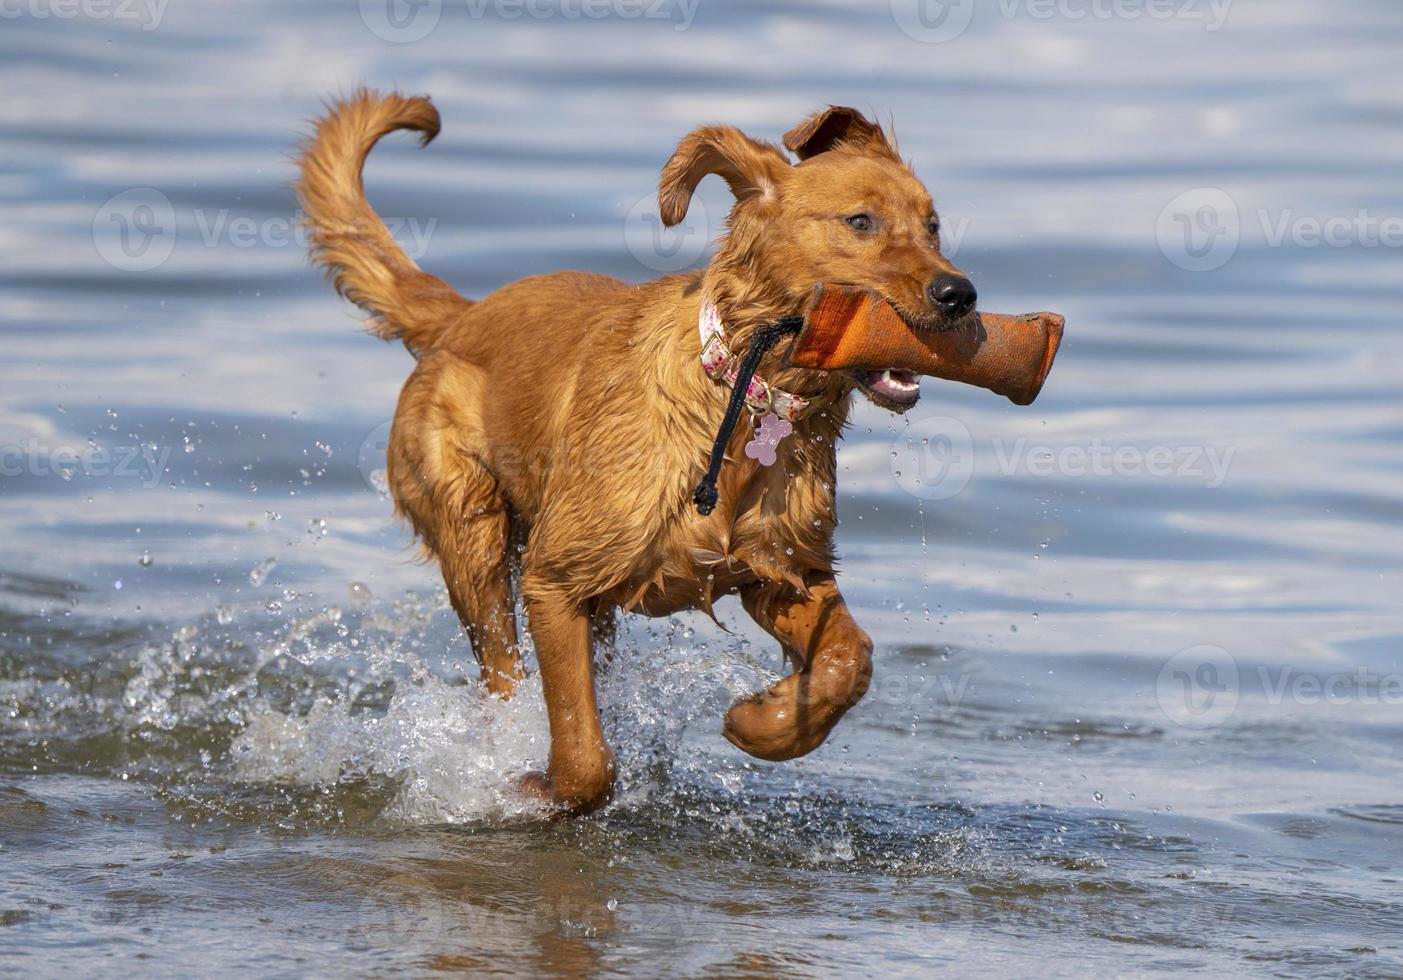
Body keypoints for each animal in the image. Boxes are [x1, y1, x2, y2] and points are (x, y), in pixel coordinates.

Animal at [291, 90, 982, 813]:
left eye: (933, 226)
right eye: (860, 221)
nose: (959, 294)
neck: (745, 397)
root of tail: (459, 316)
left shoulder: (778, 567)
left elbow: (851, 658)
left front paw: (765, 720)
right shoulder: (554, 580)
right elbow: (584, 755)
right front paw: (534, 786)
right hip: (472, 533)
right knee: (502, 673)